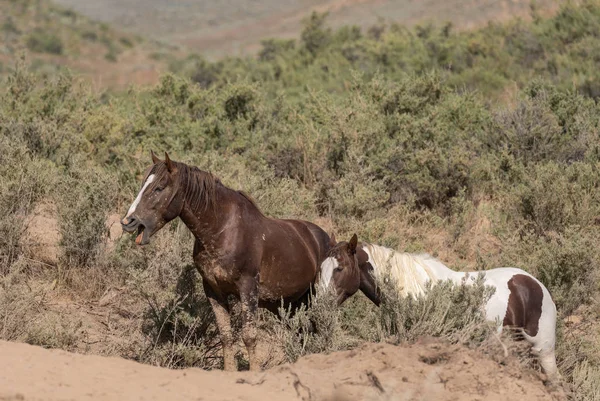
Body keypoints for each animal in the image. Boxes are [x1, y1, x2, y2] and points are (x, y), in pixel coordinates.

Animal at [119, 152, 330, 370]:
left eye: (159, 187)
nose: (128, 221)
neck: (222, 230)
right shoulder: (214, 290)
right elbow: (226, 336)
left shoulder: (248, 289)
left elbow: (249, 336)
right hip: (290, 304)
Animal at [322, 234, 560, 378]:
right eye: (323, 267)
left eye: (340, 268)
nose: (321, 302)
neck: (413, 288)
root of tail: (535, 284)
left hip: (543, 350)